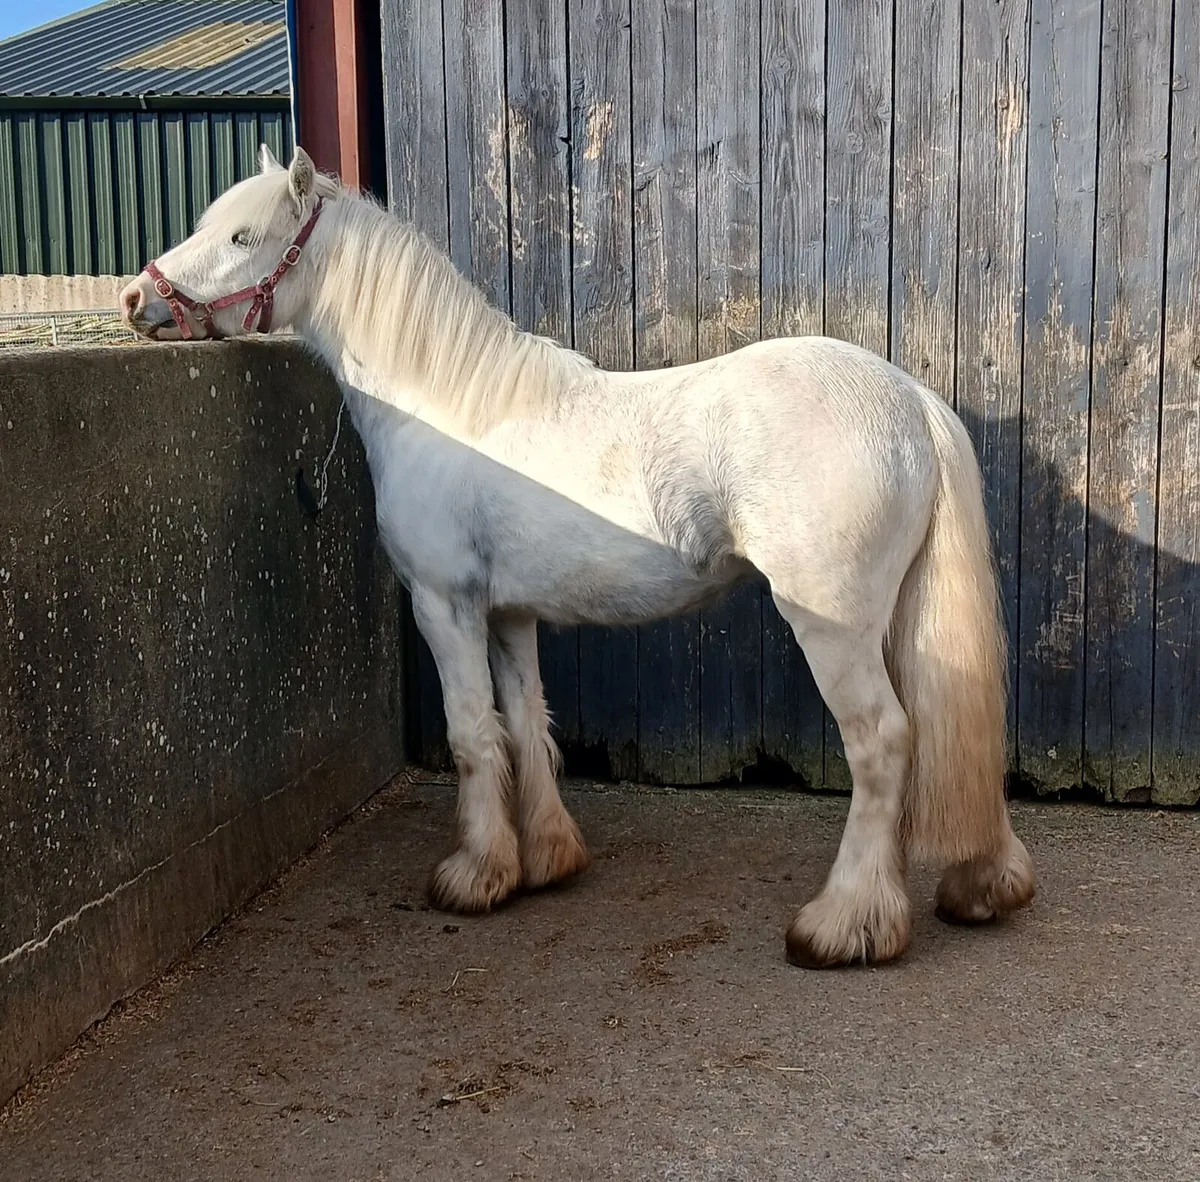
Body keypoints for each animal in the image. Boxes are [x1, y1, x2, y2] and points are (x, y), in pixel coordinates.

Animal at [119, 145, 1035, 968]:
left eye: (243, 236)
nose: (135, 296)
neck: (449, 406)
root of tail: (910, 399)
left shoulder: (443, 604)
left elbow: (469, 732)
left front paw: (475, 876)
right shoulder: (509, 613)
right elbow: (526, 722)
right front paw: (547, 860)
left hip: (834, 628)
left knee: (882, 744)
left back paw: (842, 927)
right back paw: (980, 886)